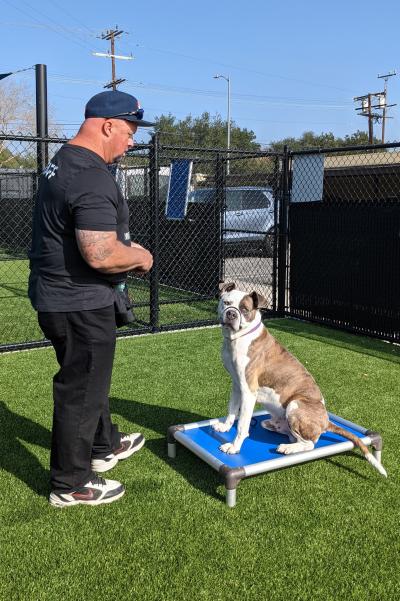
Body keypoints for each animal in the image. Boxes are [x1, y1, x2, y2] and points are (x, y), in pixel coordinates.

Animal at [214, 282, 386, 478]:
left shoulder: (249, 391)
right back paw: (278, 431)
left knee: (310, 444)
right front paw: (225, 427)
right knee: (292, 435)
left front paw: (234, 447)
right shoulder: (237, 385)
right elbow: (232, 411)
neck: (238, 339)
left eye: (244, 309)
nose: (231, 313)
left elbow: (242, 425)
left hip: (295, 404)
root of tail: (326, 421)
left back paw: (288, 448)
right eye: (227, 302)